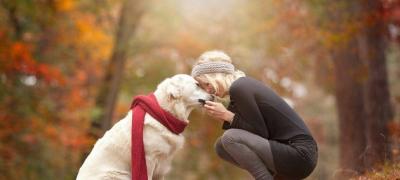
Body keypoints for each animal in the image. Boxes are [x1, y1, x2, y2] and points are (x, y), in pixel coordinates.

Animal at [76, 74, 212, 179]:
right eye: (197, 85)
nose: (213, 95)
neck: (164, 114)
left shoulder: (162, 166)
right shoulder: (149, 159)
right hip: (118, 175)